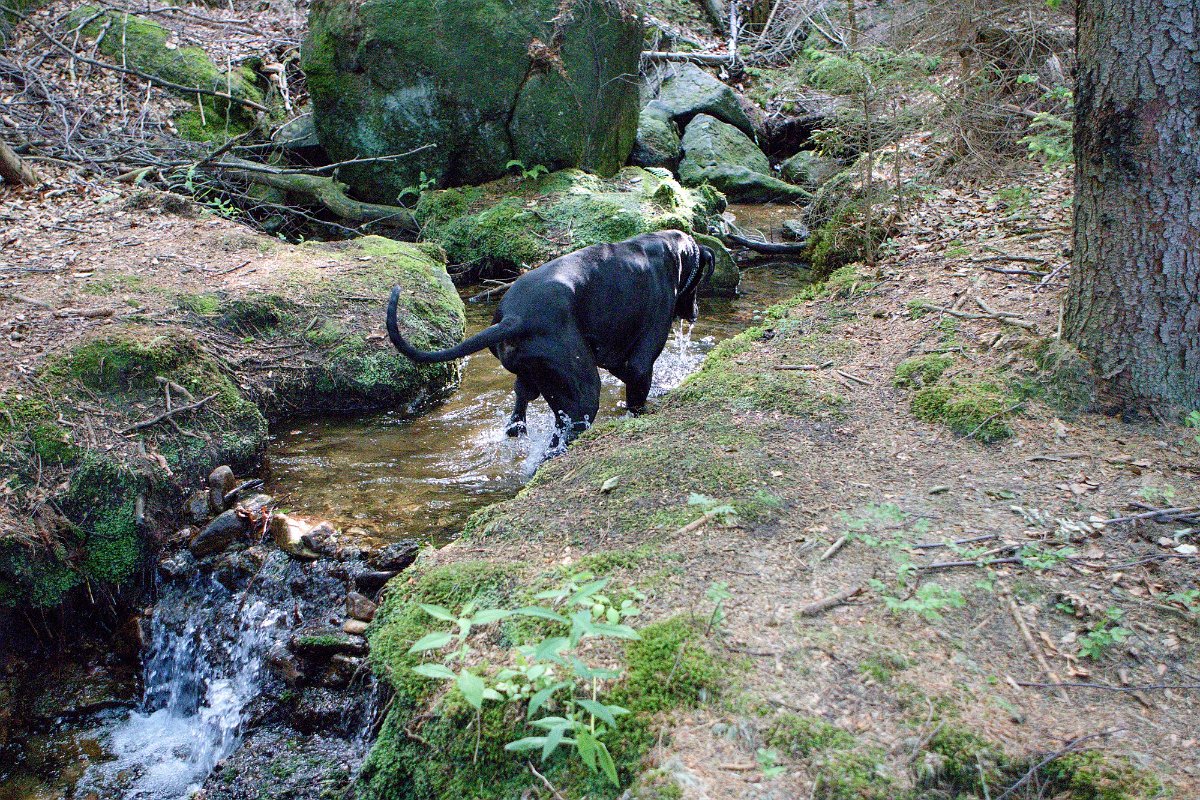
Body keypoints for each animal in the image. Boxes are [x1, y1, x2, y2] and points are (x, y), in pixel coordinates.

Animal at [388, 231, 710, 448]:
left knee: (518, 411)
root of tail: (514, 318)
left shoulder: (617, 359)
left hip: (530, 381)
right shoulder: (641, 363)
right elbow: (637, 396)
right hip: (582, 395)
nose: (694, 312)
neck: (668, 250)